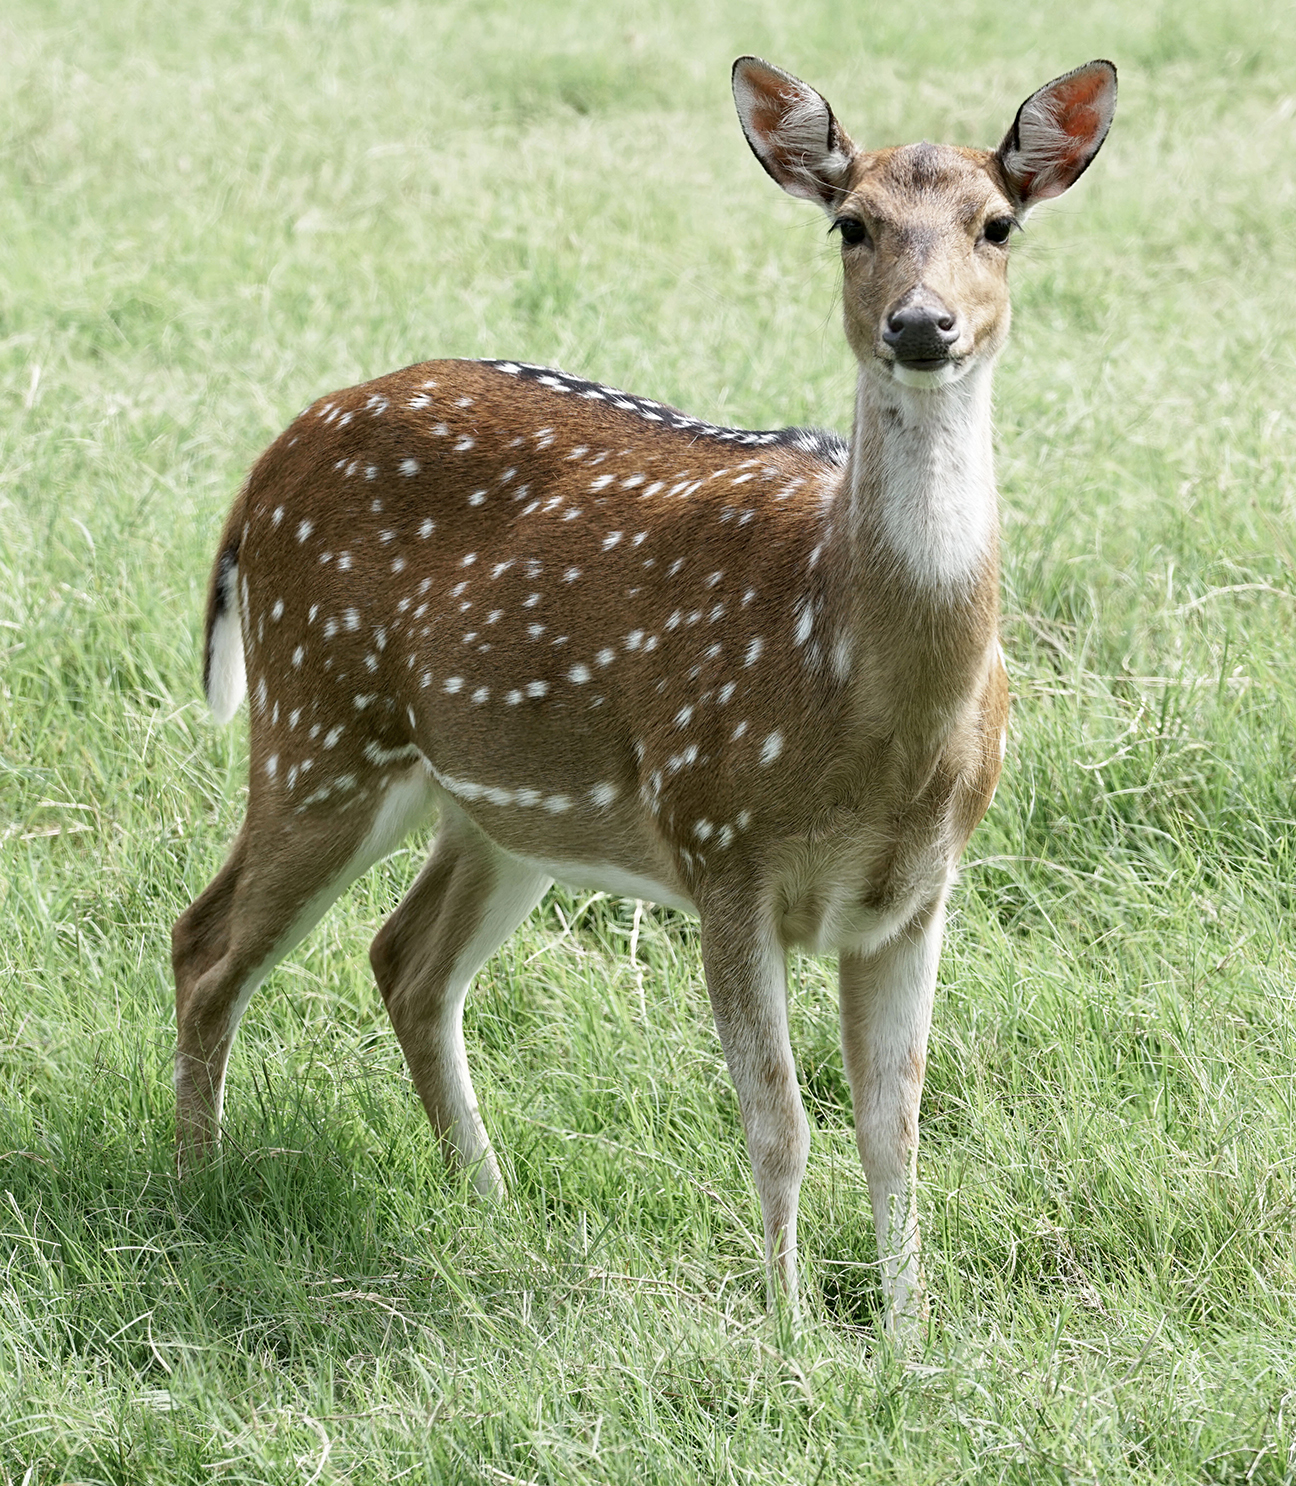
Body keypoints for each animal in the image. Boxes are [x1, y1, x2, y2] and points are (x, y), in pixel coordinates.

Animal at [174, 57, 1111, 1331]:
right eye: (851, 223)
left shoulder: (922, 887)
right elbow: (780, 1121)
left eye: (997, 225)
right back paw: (192, 1190)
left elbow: (896, 1128)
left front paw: (911, 1336)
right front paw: (791, 1333)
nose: (923, 325)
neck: (869, 719)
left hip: (493, 805)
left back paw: (492, 1205)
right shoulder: (721, 842)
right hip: (319, 720)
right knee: (205, 942)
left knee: (405, 959)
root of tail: (263, 467)